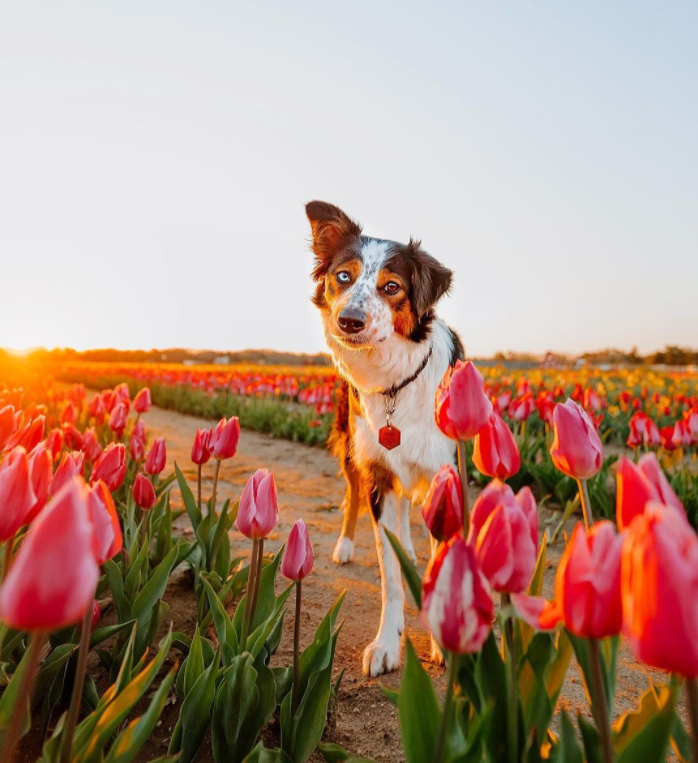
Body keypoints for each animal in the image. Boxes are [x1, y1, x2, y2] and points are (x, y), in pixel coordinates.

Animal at [304, 200, 462, 676]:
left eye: (392, 287)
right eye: (343, 276)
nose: (349, 321)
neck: (394, 385)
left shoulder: (444, 475)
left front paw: (443, 641)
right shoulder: (378, 474)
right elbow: (390, 574)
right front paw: (387, 645)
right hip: (352, 451)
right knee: (353, 496)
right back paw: (344, 545)